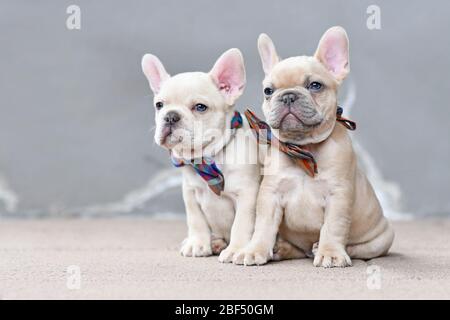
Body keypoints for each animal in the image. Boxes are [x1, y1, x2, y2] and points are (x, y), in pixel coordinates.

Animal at [141, 48, 260, 262]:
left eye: (200, 107)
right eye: (159, 105)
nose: (170, 116)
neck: (207, 158)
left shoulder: (247, 195)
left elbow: (241, 224)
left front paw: (236, 249)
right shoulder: (190, 194)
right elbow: (196, 221)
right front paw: (197, 244)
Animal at [236, 26, 394, 268]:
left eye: (315, 86)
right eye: (268, 91)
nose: (288, 96)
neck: (305, 148)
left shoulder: (338, 197)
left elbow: (333, 227)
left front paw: (331, 253)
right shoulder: (270, 195)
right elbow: (263, 226)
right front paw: (255, 250)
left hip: (383, 237)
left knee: (358, 248)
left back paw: (322, 248)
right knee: (296, 250)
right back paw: (281, 248)